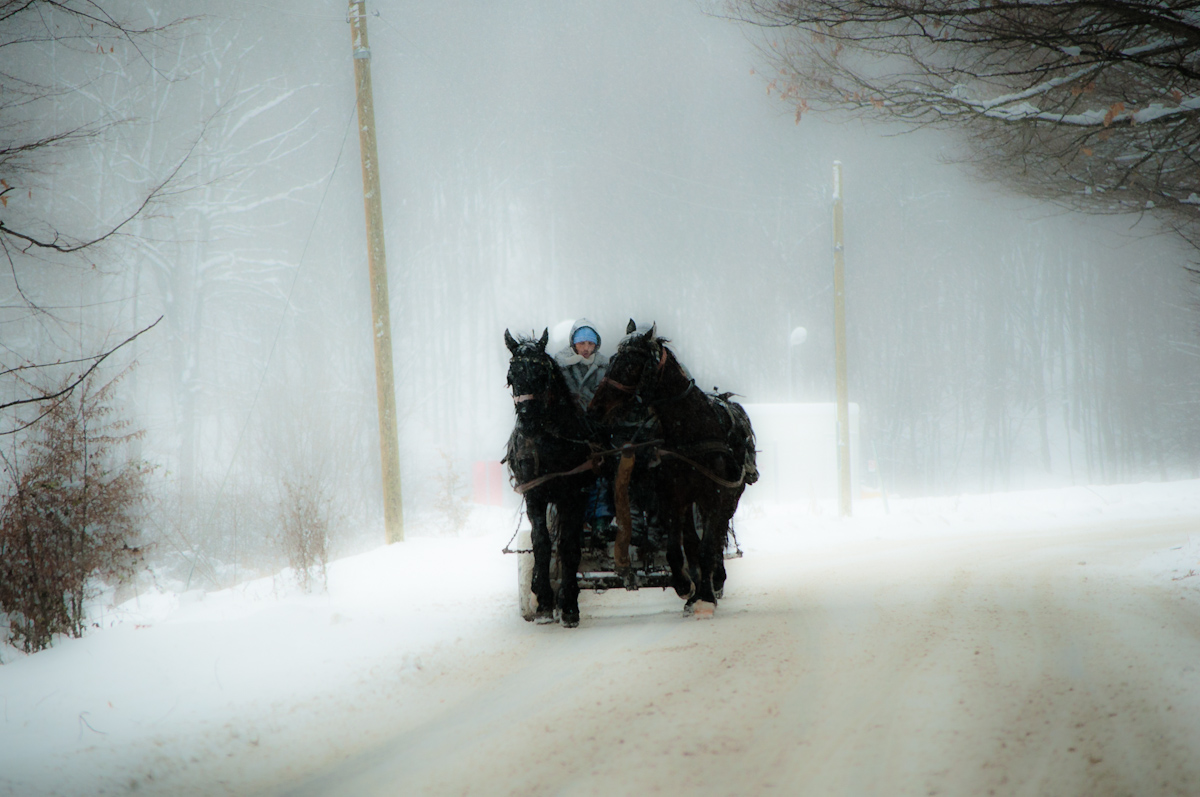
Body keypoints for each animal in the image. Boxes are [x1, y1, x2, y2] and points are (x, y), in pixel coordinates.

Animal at [499, 328, 592, 628]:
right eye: (511, 376)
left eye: (542, 374)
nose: (527, 418)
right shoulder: (534, 494)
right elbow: (541, 542)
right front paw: (543, 601)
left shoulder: (573, 494)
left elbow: (568, 544)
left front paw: (569, 604)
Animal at [592, 321, 758, 612]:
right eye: (612, 360)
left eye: (630, 365)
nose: (596, 407)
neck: (691, 431)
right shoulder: (673, 496)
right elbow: (679, 548)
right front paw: (686, 587)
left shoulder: (715, 495)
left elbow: (708, 546)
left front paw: (706, 595)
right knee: (693, 541)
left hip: (729, 497)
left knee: (717, 537)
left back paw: (716, 580)